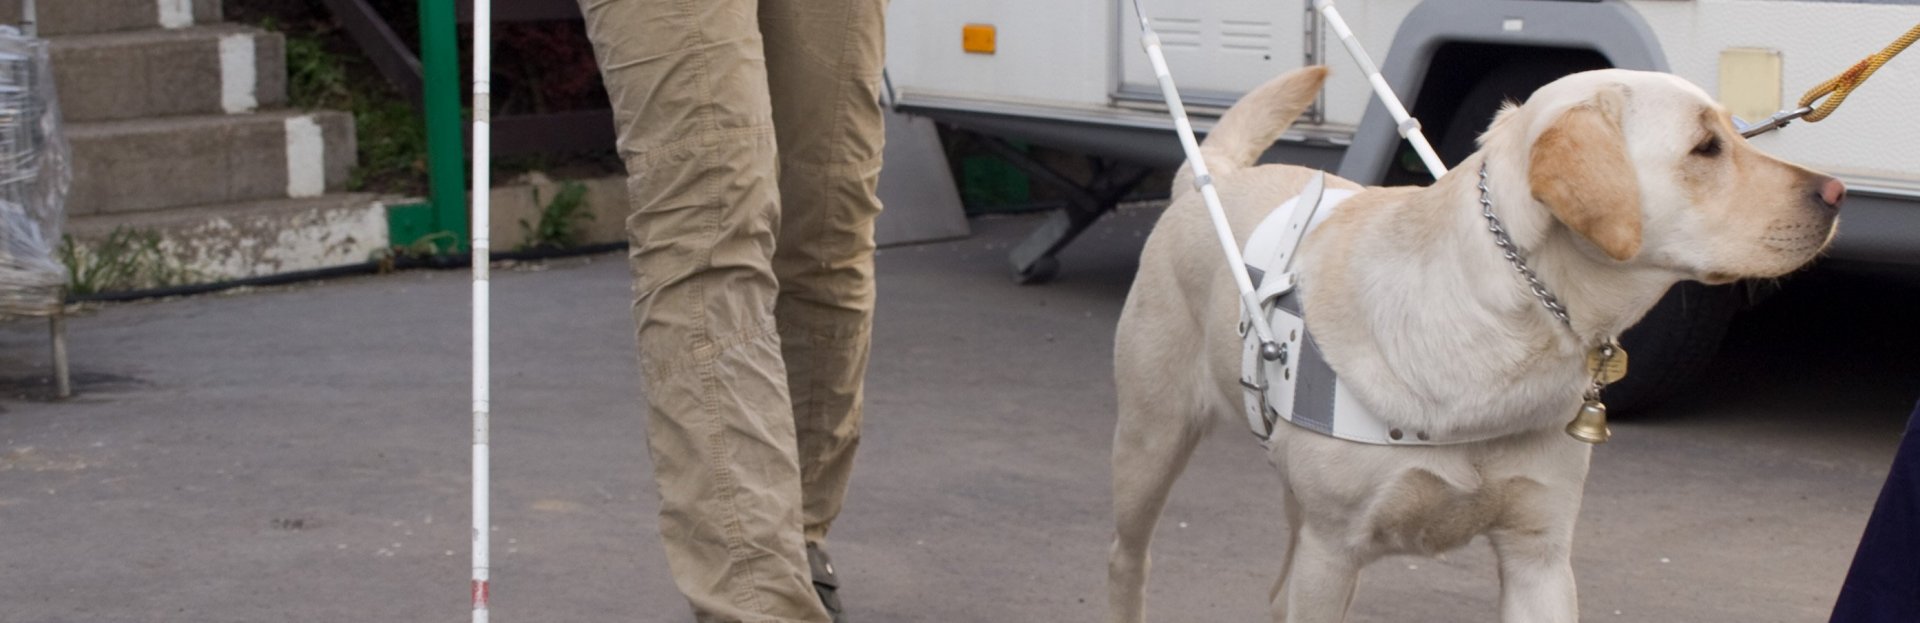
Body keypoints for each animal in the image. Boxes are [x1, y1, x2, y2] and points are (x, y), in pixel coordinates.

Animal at [1113, 65, 1843, 619]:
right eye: (1705, 148)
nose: (1836, 193)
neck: (1504, 333)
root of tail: (1210, 174)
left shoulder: (1540, 555)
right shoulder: (1333, 552)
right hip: (1150, 447)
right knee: (1130, 561)